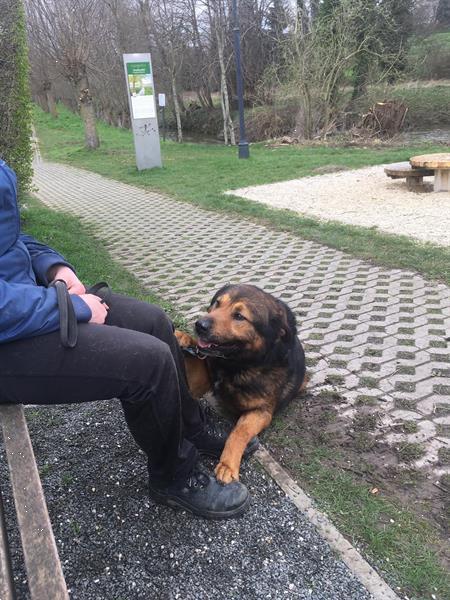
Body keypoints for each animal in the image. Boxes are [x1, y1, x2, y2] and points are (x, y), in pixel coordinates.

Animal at [176, 284, 306, 486]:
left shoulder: (261, 412)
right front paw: (184, 337)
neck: (235, 366)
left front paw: (227, 465)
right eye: (217, 303)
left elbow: (239, 432)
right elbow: (197, 360)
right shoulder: (201, 378)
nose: (199, 325)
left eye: (239, 316)